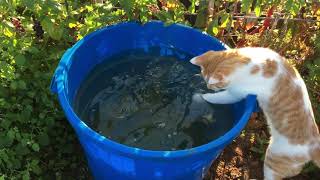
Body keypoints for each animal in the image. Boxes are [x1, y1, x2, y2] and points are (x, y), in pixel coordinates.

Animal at [190, 47, 320, 179]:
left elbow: (218, 97)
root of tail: (314, 146)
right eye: (205, 79)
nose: (208, 87)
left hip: (274, 159)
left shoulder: (236, 93)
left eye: (213, 84)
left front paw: (202, 96)